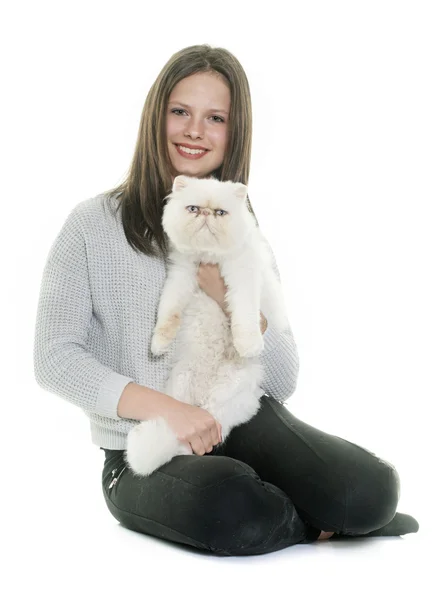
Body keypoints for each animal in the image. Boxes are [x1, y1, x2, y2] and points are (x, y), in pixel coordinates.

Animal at [125, 176, 288, 476]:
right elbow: (168, 315)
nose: (205, 215)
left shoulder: (242, 279)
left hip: (227, 395)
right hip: (181, 389)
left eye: (220, 213)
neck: (209, 257)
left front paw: (247, 345)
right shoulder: (180, 277)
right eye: (192, 208)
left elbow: (245, 318)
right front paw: (158, 345)